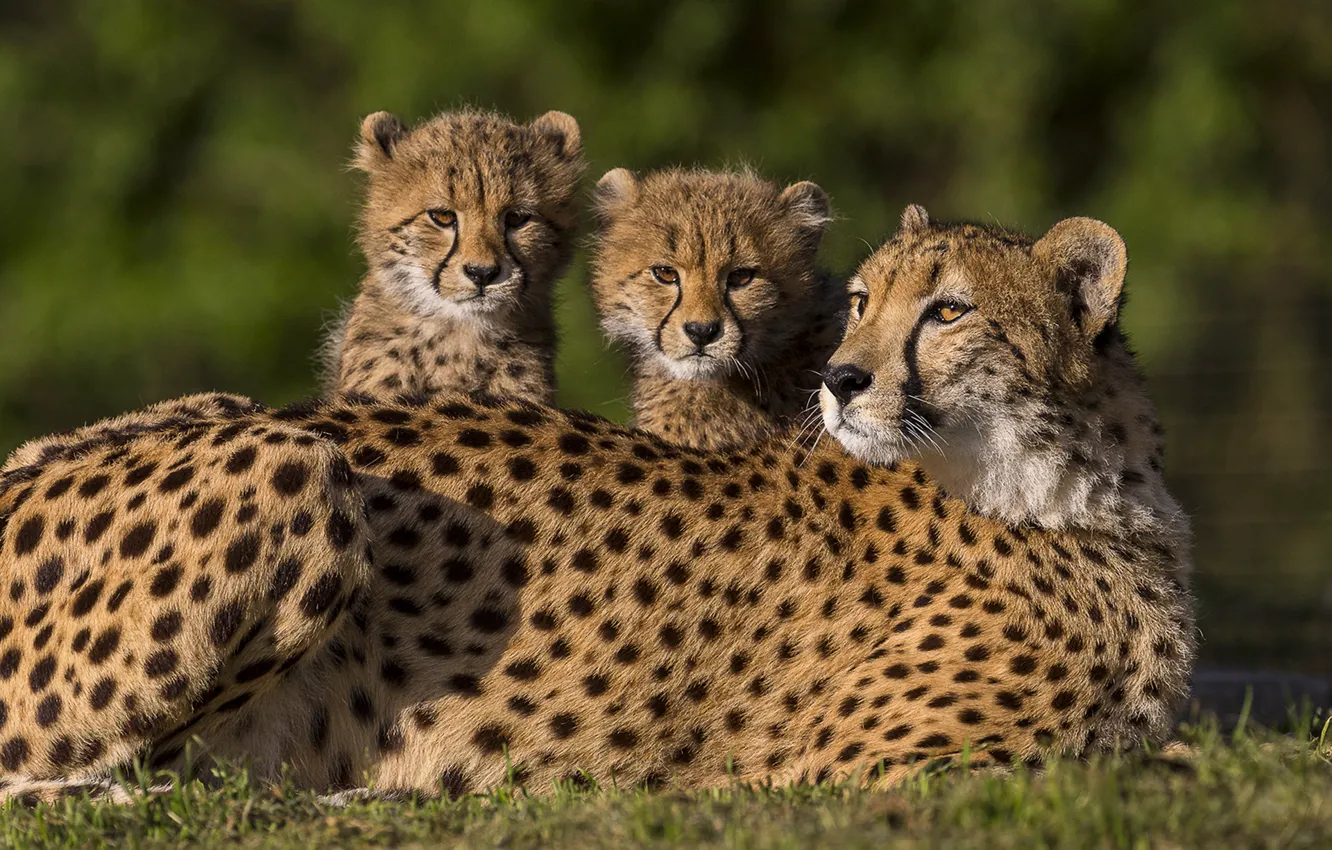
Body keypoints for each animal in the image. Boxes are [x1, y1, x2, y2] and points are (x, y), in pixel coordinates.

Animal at [0, 208, 1193, 801]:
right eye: (863, 300)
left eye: (948, 310)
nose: (843, 379)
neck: (1067, 484)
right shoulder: (836, 772)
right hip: (295, 460)